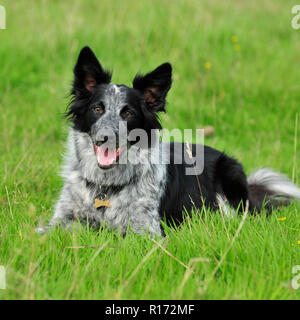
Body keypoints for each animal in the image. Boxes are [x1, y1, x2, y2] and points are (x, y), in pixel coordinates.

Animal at [37, 47, 300, 238]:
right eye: (97, 108)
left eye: (128, 113)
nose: (106, 138)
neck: (106, 187)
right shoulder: (61, 219)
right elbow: (44, 232)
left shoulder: (146, 230)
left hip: (230, 177)